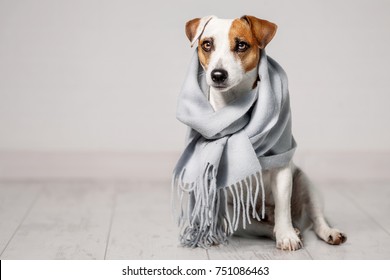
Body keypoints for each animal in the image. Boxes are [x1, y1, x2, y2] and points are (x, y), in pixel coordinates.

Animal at [184, 15, 346, 250]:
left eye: (241, 45)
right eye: (207, 44)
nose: (218, 75)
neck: (235, 107)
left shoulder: (282, 168)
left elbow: (283, 207)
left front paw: (287, 235)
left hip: (305, 184)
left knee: (316, 219)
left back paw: (325, 232)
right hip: (235, 215)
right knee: (261, 227)